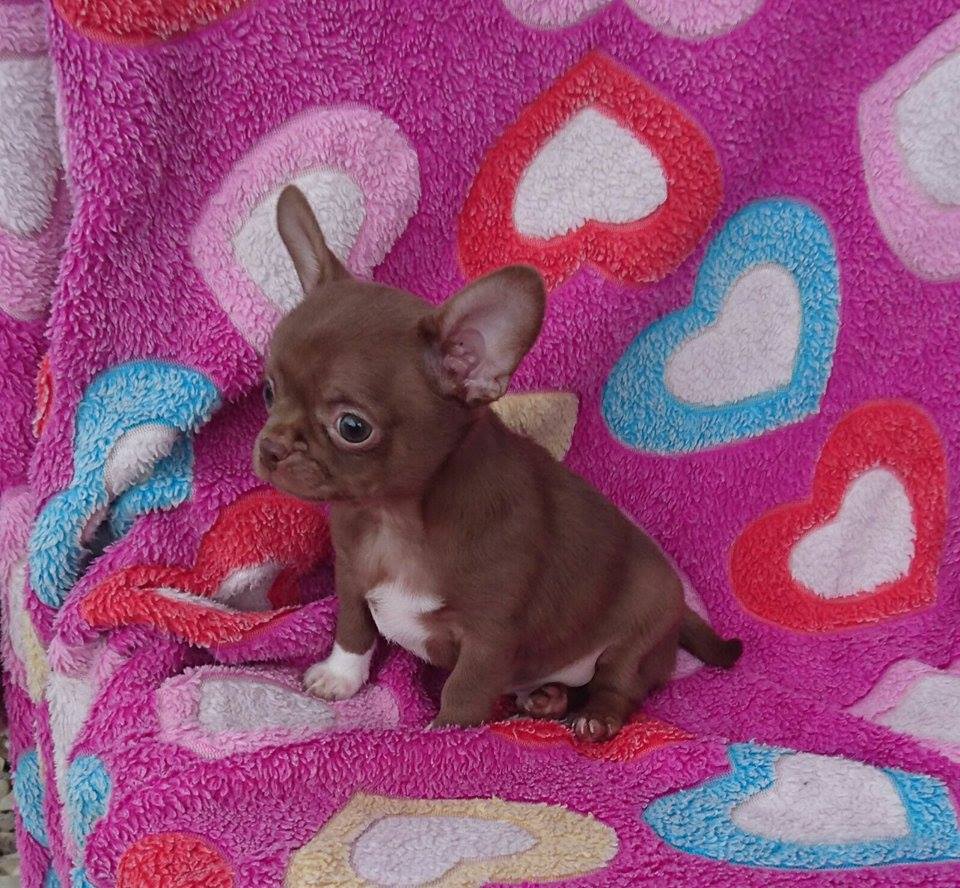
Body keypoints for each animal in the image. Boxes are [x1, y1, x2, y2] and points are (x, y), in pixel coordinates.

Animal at [255, 186, 744, 744]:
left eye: (352, 427)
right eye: (269, 391)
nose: (270, 448)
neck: (394, 517)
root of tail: (680, 610)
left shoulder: (489, 637)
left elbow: (464, 689)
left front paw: (445, 736)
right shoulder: (353, 575)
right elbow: (353, 629)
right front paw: (340, 677)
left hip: (638, 632)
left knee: (619, 682)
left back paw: (594, 715)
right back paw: (549, 697)